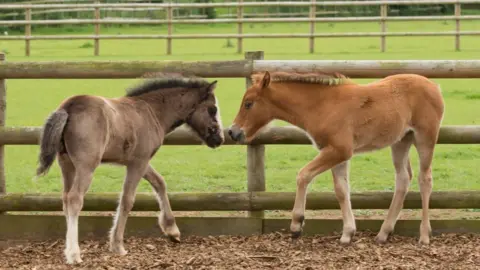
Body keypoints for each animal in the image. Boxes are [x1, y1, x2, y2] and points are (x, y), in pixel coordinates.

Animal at [34, 74, 226, 264]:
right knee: (75, 199)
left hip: (66, 164)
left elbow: (160, 183)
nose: (219, 139)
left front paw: (172, 230)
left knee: (65, 198)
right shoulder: (138, 162)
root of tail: (68, 106)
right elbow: (127, 199)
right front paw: (117, 245)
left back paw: (68, 250)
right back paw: (74, 254)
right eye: (213, 109)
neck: (152, 111)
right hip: (86, 166)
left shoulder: (140, 161)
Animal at [229, 71, 446, 245]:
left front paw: (296, 225)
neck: (322, 105)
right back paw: (383, 233)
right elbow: (341, 190)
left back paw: (424, 236)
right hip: (401, 141)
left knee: (425, 179)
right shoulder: (337, 154)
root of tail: (434, 86)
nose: (233, 132)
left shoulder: (339, 151)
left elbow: (303, 175)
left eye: (248, 103)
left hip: (425, 137)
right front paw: (347, 234)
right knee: (403, 178)